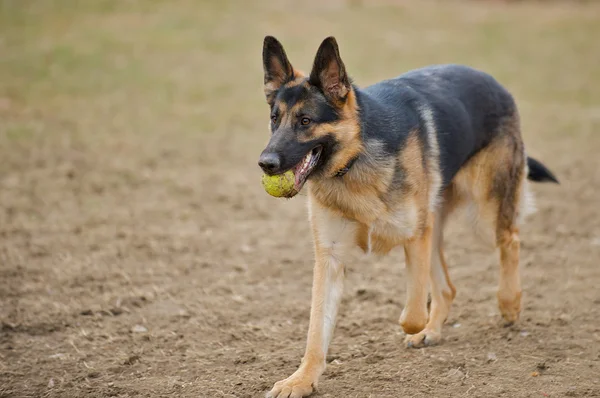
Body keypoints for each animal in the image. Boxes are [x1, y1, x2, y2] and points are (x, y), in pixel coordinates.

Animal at [258, 36, 556, 398]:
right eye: (275, 118)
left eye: (305, 121)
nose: (266, 163)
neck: (355, 159)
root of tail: (493, 81)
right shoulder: (330, 258)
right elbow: (316, 332)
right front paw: (302, 380)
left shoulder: (414, 235)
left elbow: (411, 313)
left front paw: (411, 323)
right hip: (437, 223)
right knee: (448, 287)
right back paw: (434, 330)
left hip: (484, 213)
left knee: (510, 239)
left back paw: (509, 304)